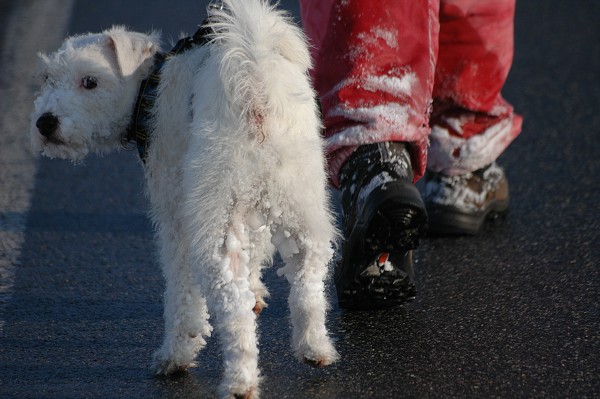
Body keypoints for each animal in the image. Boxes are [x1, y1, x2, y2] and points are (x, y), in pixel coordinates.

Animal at [30, 1, 340, 398]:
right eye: (48, 79)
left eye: (90, 81)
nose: (45, 123)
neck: (149, 90)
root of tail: (254, 89)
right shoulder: (246, 213)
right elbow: (254, 255)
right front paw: (257, 291)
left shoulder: (176, 216)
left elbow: (182, 294)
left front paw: (176, 354)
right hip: (301, 206)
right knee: (308, 284)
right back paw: (315, 347)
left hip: (214, 220)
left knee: (234, 312)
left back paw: (239, 381)